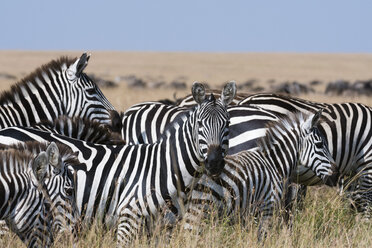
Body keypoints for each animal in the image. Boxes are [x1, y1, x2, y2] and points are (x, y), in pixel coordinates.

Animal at [0, 82, 235, 244]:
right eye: (200, 124)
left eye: (227, 123)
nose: (214, 162)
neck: (166, 168)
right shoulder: (127, 220)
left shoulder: (163, 230)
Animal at [185, 110, 336, 238]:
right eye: (320, 144)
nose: (336, 173)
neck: (274, 163)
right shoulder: (267, 207)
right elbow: (262, 238)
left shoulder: (251, 213)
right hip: (201, 210)